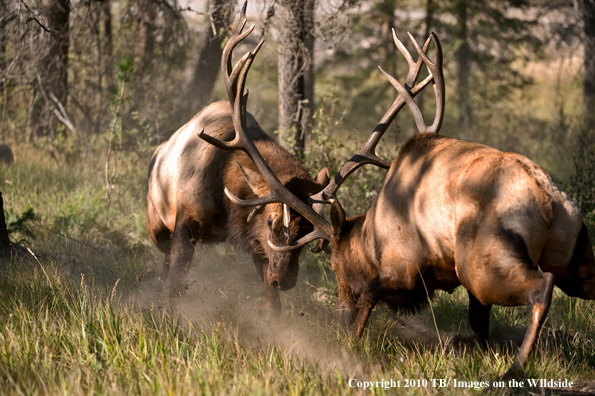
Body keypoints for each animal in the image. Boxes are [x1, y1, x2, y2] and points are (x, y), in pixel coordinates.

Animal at [146, 3, 330, 312]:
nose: (284, 280)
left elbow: (270, 301)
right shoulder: (183, 223)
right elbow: (176, 284)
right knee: (163, 257)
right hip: (156, 223)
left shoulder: (257, 243)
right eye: (270, 221)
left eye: (306, 229)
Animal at [199, 26, 595, 378]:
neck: (372, 235)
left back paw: (514, 369)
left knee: (541, 287)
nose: (338, 313)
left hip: (485, 262)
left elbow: (371, 294)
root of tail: (548, 201)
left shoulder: (407, 267)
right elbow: (479, 325)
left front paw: (350, 343)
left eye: (337, 266)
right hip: (570, 252)